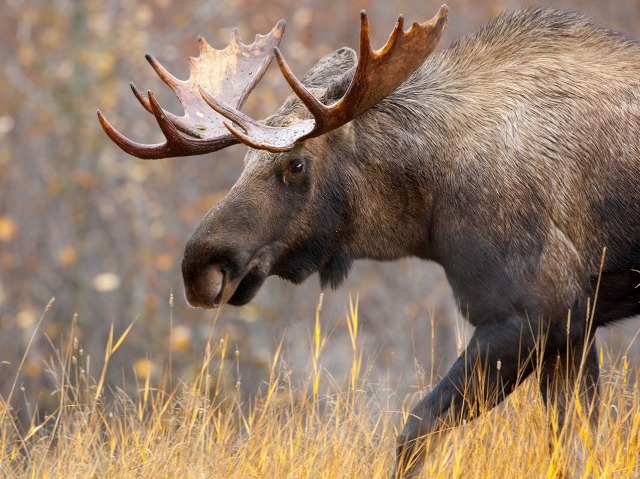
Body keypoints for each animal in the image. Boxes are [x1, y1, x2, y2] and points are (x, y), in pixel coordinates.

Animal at [96, 4, 640, 479]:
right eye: (242, 162)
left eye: (296, 164)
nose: (200, 267)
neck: (428, 208)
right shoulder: (573, 328)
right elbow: (574, 448)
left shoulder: (531, 313)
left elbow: (416, 428)